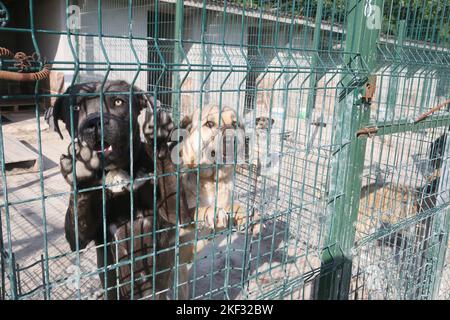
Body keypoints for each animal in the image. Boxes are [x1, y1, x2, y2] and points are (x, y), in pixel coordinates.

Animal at [48, 80, 176, 300]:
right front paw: (80, 172)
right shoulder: (78, 239)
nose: (94, 123)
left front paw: (158, 140)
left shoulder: (172, 214)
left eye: (118, 101)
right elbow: (78, 218)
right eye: (75, 108)